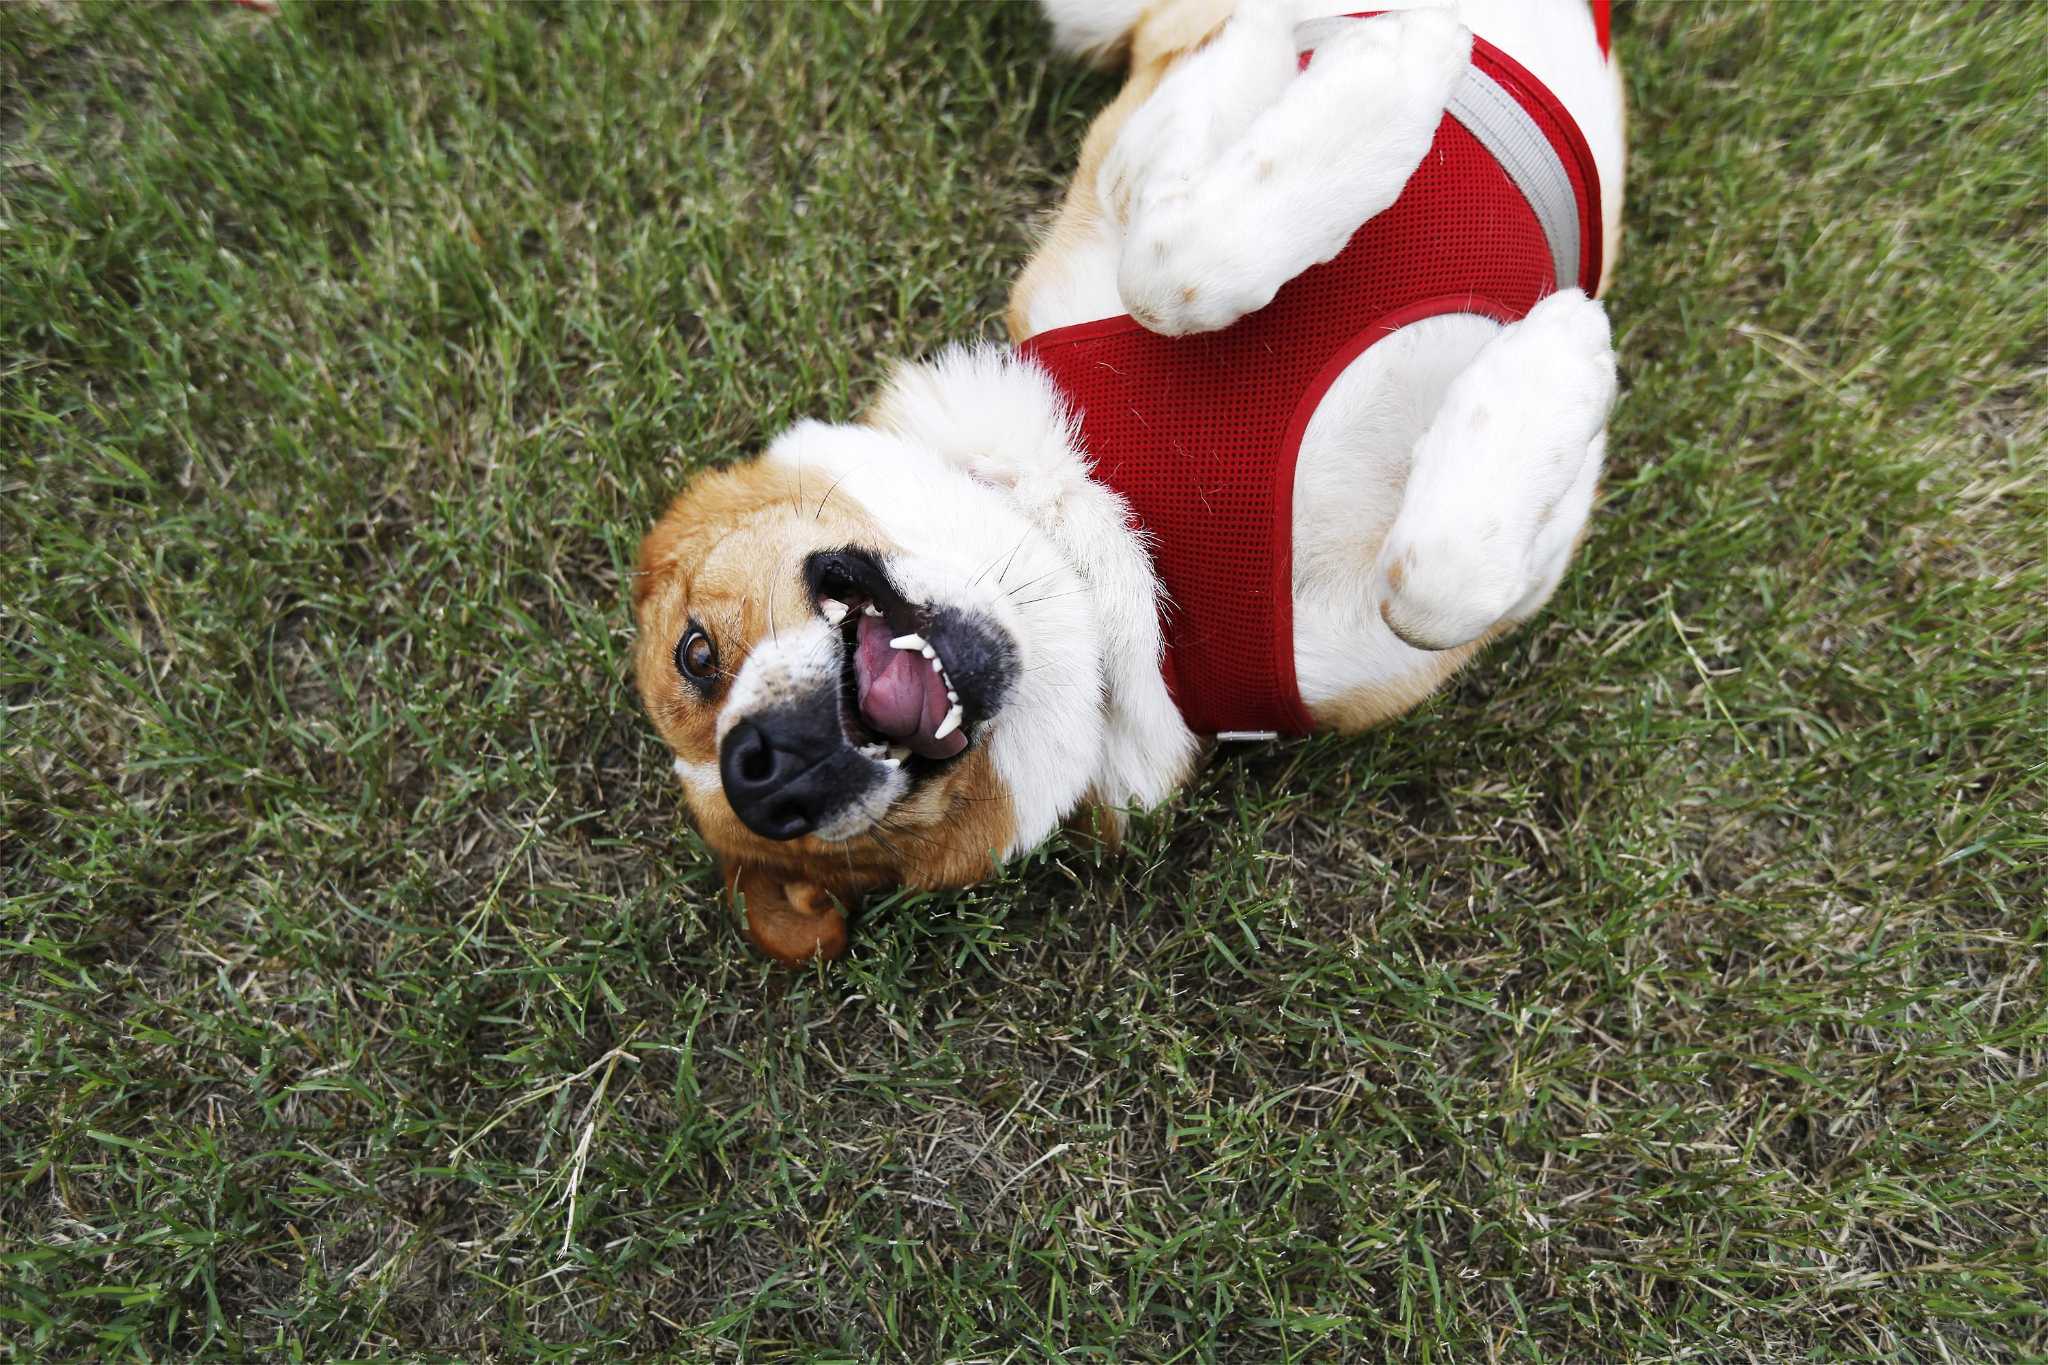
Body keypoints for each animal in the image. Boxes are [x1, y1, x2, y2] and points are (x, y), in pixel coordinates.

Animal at [630, 0, 1622, 961]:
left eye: (695, 653)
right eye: (819, 853)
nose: (763, 773)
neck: (1121, 532)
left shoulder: (1137, 149)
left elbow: (1170, 269)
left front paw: (1382, 66)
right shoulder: (1415, 638)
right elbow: (1437, 587)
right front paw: (1558, 358)